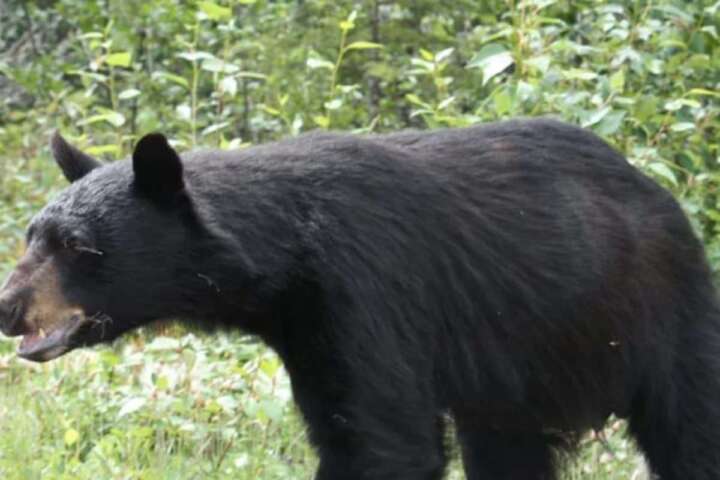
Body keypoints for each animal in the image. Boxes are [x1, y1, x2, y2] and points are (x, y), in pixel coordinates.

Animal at [1, 118, 720, 480]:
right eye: (32, 235)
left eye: (77, 246)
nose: (6, 307)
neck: (286, 259)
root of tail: (662, 196)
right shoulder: (308, 329)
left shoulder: (366, 293)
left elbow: (384, 439)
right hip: (510, 382)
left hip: (661, 315)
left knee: (691, 430)